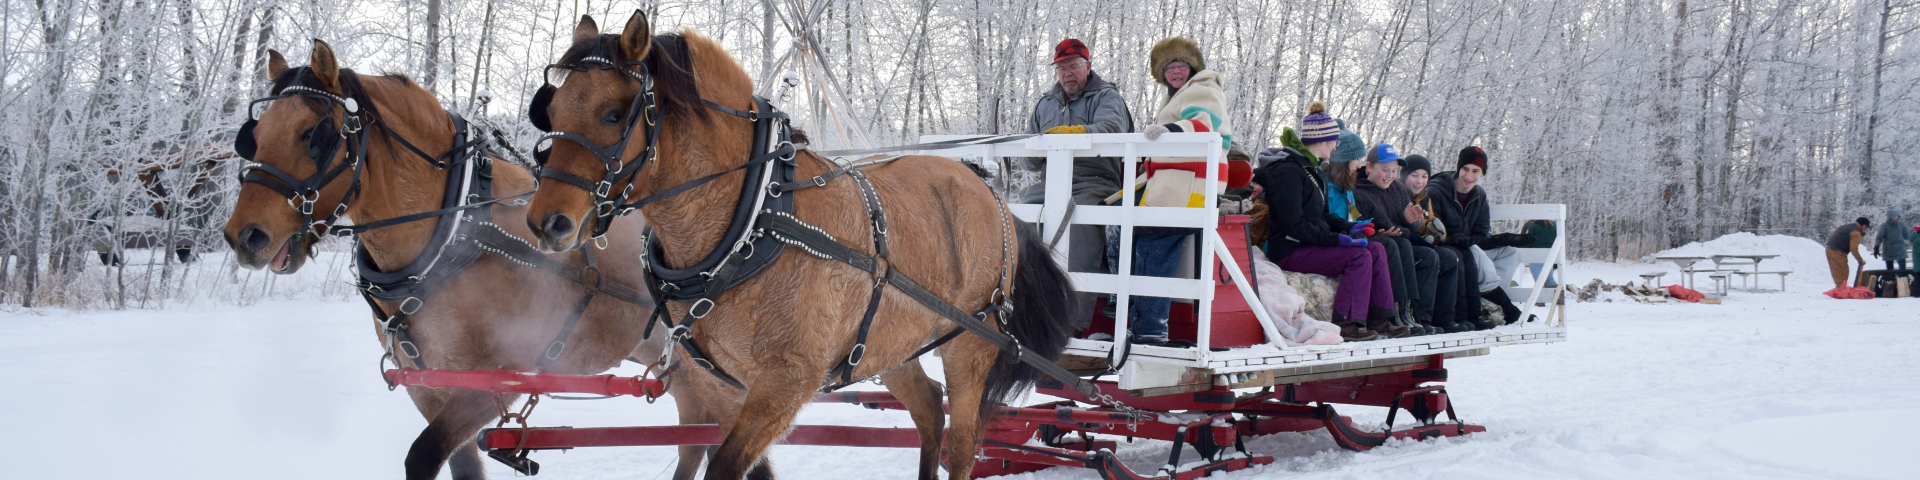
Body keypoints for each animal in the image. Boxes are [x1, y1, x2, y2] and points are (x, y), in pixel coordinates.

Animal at [222, 41, 756, 480]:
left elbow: (422, 456)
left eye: (313, 133)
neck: (451, 237)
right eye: (255, 134)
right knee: (703, 444)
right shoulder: (429, 387)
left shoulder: (495, 379)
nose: (245, 236)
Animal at [522, 12, 1082, 480]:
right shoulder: (718, 384)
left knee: (963, 441)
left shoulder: (787, 381)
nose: (547, 222)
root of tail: (988, 190)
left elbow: (725, 468)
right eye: (552, 110)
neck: (750, 223)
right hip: (889, 343)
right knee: (928, 412)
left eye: (614, 114)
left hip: (971, 342)